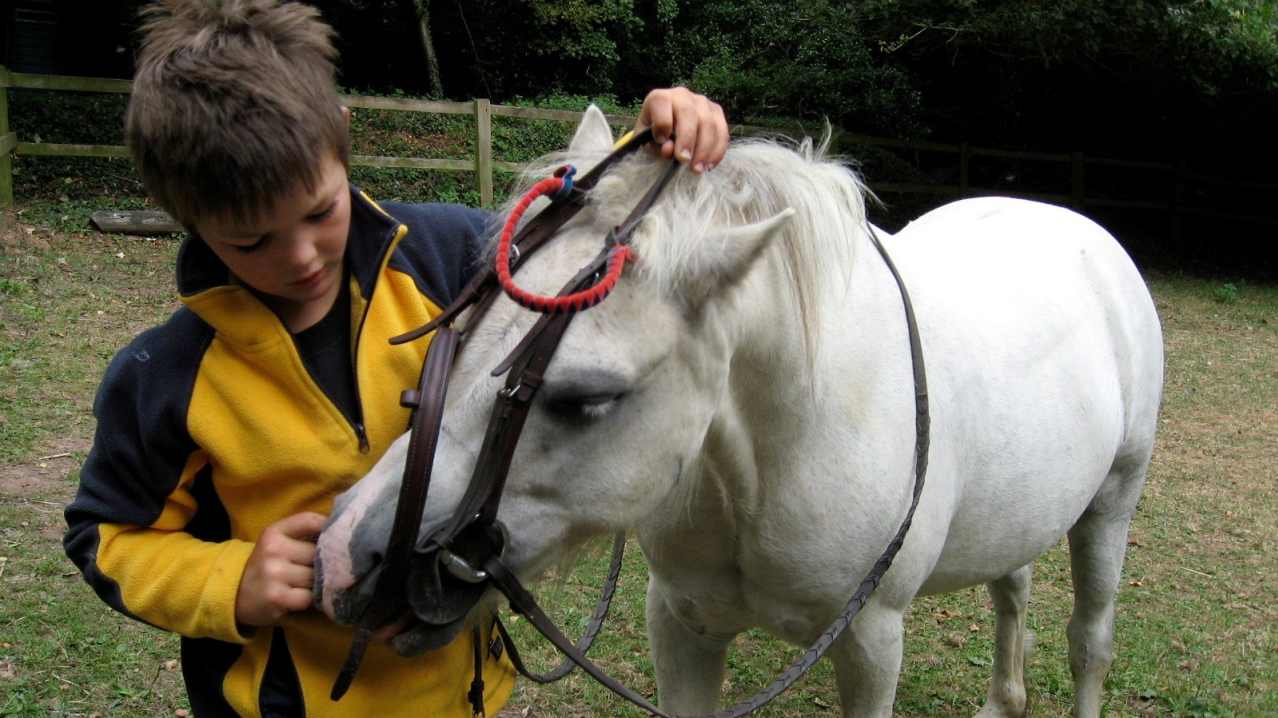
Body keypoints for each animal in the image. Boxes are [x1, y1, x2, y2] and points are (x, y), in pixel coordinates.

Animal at [315, 106, 1164, 717]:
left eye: (586, 398)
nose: (344, 556)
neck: (773, 458)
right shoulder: (682, 625)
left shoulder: (871, 642)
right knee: (1012, 588)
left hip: (1112, 503)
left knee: (1089, 640)